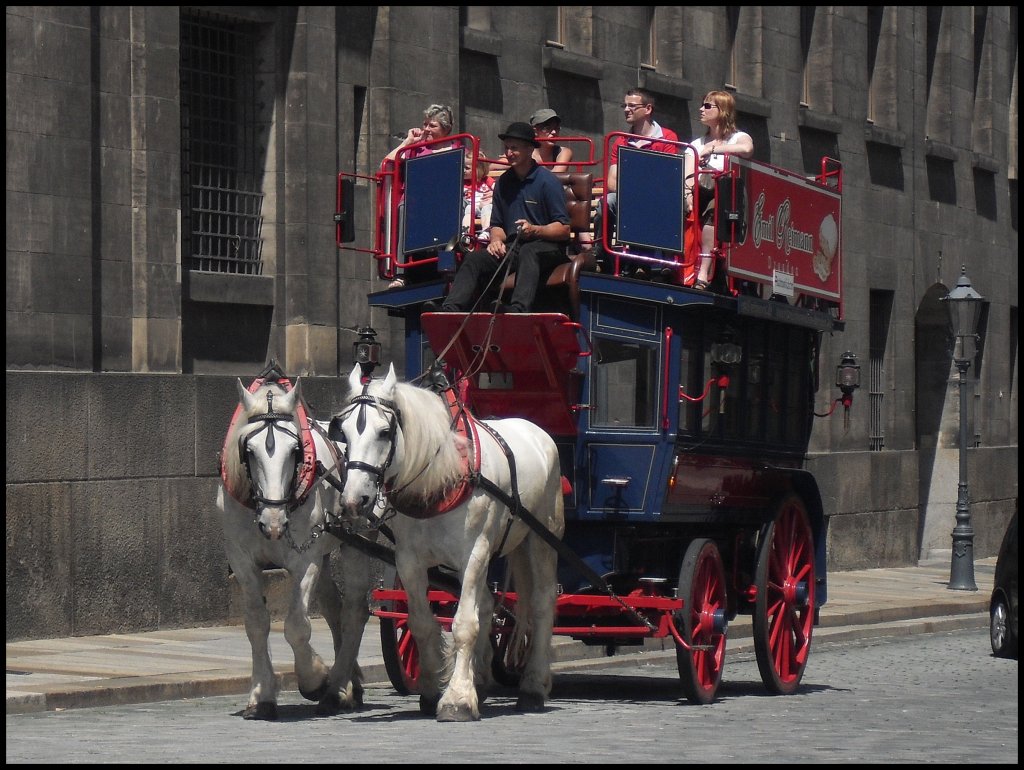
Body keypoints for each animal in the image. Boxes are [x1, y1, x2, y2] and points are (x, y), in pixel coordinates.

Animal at [219, 376, 376, 720]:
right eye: (248, 450)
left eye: (295, 450)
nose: (274, 523)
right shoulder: (242, 560)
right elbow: (256, 623)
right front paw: (261, 696)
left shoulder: (305, 560)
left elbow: (296, 626)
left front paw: (314, 678)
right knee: (334, 607)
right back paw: (350, 684)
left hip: (356, 540)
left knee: (354, 611)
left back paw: (336, 687)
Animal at [331, 364, 565, 720]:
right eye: (343, 432)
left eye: (384, 432)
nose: (354, 500)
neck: (442, 478)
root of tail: (535, 430)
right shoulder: (409, 561)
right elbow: (422, 623)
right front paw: (432, 690)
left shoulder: (474, 553)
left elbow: (464, 623)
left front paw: (457, 699)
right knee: (487, 603)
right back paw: (480, 678)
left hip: (541, 538)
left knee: (540, 603)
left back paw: (534, 686)